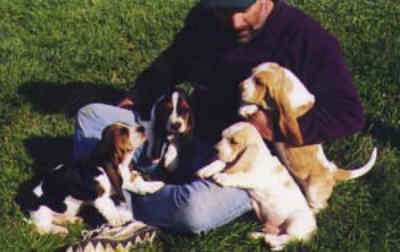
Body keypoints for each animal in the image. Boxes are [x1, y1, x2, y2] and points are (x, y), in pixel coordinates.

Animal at [196, 121, 316, 250]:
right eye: (221, 136)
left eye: (234, 142)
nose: (214, 149)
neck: (258, 156)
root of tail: (312, 231)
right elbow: (221, 163)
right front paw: (205, 170)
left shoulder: (254, 177)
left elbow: (239, 176)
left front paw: (222, 177)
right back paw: (256, 236)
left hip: (295, 222)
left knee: (292, 238)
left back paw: (272, 241)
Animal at [238, 62, 378, 212]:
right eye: (251, 73)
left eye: (259, 82)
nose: (239, 86)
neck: (288, 84)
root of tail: (332, 171)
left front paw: (247, 108)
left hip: (313, 190)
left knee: (320, 206)